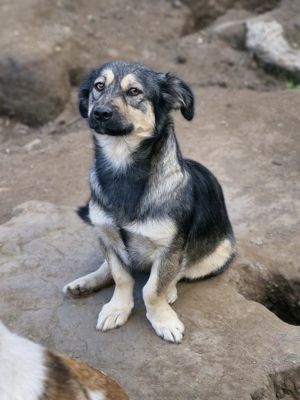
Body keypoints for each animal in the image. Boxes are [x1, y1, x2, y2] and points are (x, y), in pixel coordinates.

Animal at [63, 61, 236, 342]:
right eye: (98, 86)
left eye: (134, 91)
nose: (99, 112)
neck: (123, 168)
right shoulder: (107, 236)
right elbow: (121, 277)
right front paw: (117, 308)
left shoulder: (169, 248)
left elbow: (152, 289)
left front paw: (162, 318)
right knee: (108, 267)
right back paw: (84, 283)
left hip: (220, 252)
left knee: (181, 270)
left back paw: (171, 291)